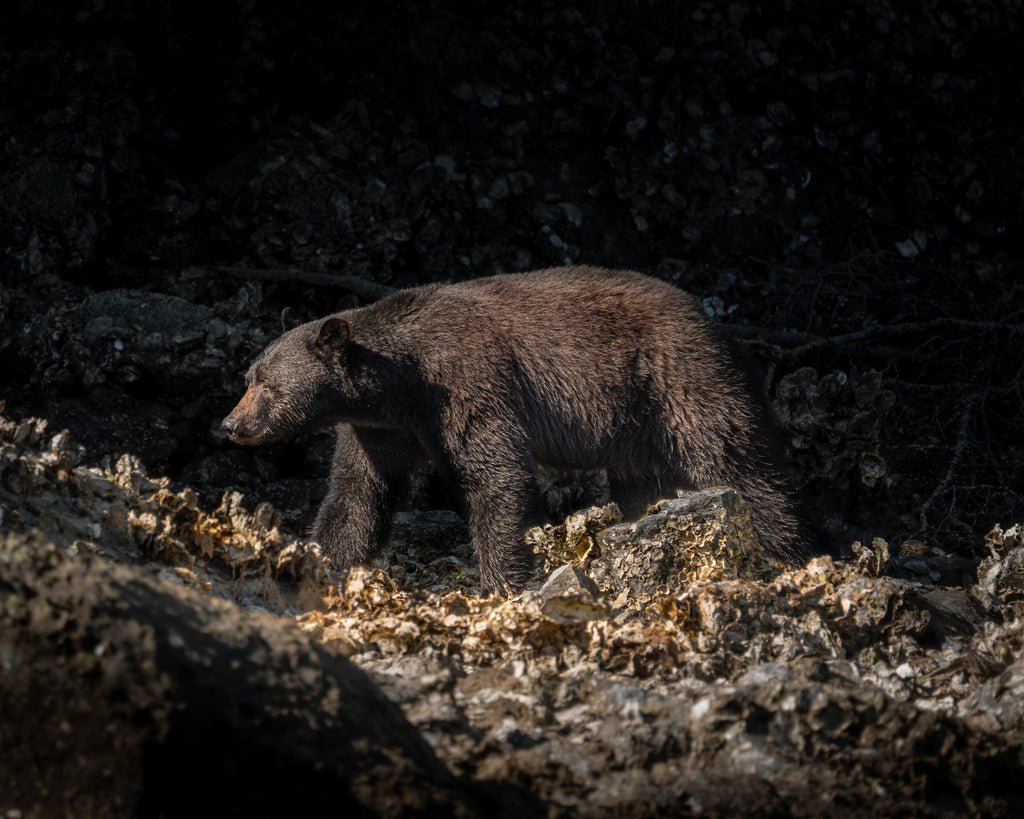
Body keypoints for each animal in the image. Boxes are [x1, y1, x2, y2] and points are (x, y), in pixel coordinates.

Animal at [222, 266, 823, 595]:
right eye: (247, 378)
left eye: (267, 386)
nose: (231, 425)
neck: (400, 381)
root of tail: (719, 327)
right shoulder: (380, 428)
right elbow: (357, 493)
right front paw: (319, 559)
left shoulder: (466, 382)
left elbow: (496, 474)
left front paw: (502, 580)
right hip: (636, 426)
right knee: (642, 482)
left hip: (679, 378)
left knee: (736, 459)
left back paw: (783, 549)